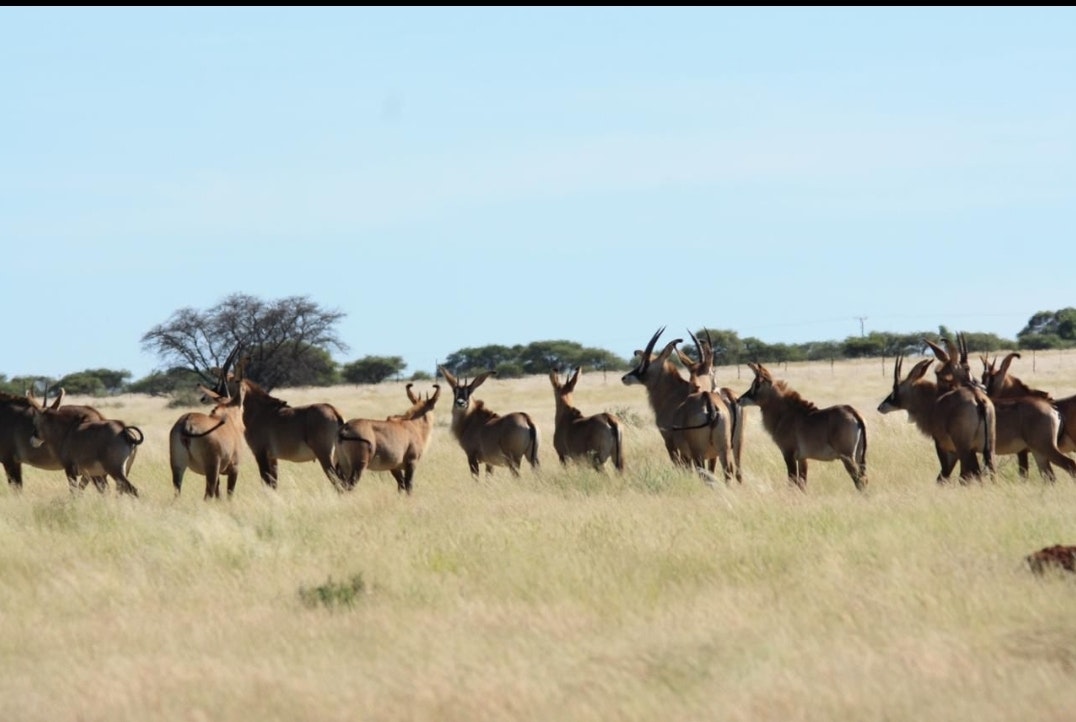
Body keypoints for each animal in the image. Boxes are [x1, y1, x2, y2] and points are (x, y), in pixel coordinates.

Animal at [621, 327, 736, 481]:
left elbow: (680, 466)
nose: (625, 378)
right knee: (726, 474)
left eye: (645, 363)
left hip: (698, 452)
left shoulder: (670, 442)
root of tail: (709, 401)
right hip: (723, 450)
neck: (673, 393)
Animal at [737, 362, 867, 490]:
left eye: (757, 384)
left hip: (847, 457)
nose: (739, 400)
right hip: (858, 456)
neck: (785, 413)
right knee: (864, 479)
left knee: (859, 481)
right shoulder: (802, 458)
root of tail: (853, 412)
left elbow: (792, 481)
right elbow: (802, 484)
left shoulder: (788, 454)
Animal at [878, 355, 995, 483]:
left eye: (895, 388)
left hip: (964, 449)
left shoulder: (942, 445)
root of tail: (977, 398)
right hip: (988, 450)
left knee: (973, 473)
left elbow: (943, 476)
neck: (934, 400)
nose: (880, 407)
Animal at [930, 337, 1075, 482]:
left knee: (1069, 465)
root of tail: (1054, 410)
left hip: (1044, 447)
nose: (981, 389)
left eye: (991, 378)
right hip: (1039, 451)